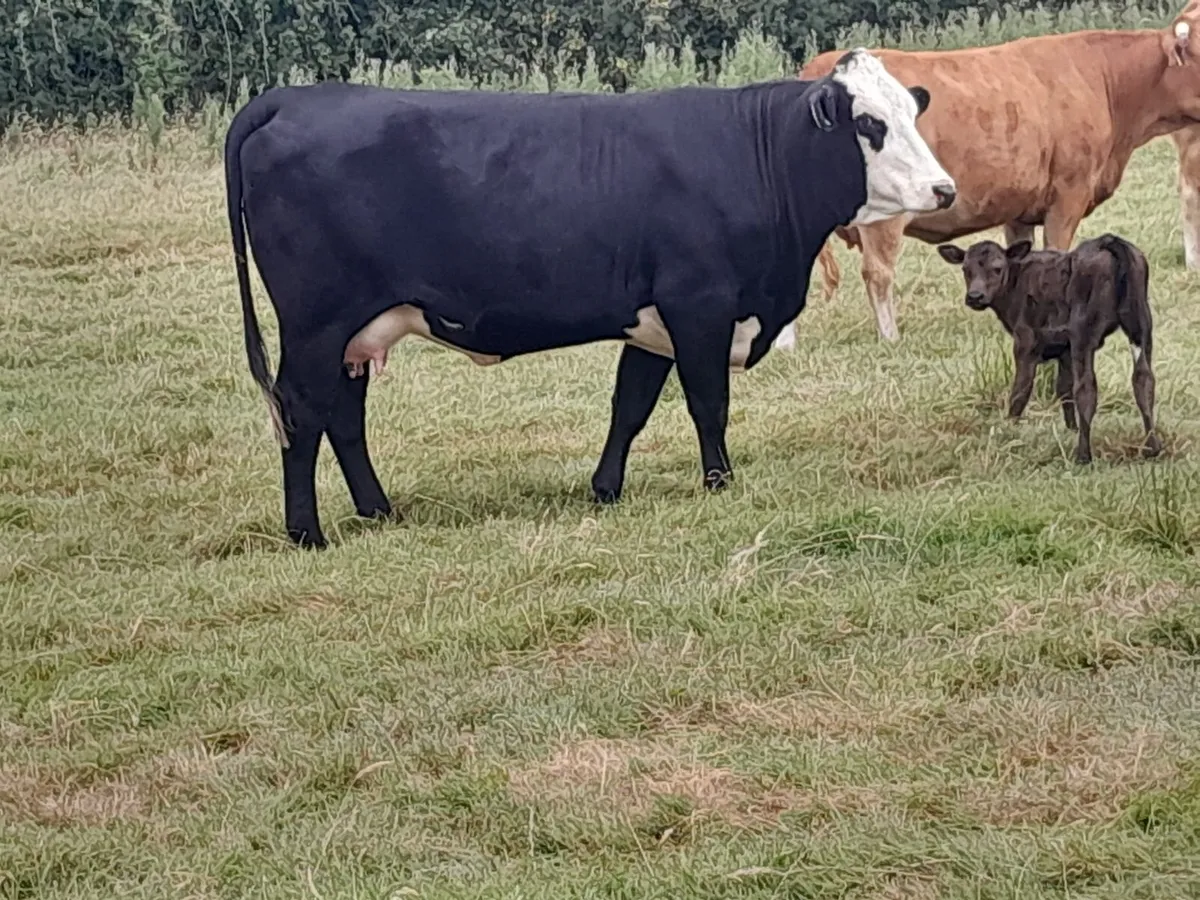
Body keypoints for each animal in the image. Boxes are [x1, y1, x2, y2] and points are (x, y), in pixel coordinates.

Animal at [223, 49, 956, 548]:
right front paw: (719, 483)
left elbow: (630, 406)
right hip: (316, 324)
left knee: (343, 416)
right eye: (870, 124)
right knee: (301, 413)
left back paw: (377, 510)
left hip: (356, 330)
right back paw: (307, 532)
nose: (945, 189)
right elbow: (708, 404)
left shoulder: (655, 322)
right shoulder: (700, 305)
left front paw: (605, 490)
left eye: (912, 113)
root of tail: (290, 98)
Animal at [772, 1, 1200, 351]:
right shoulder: (1068, 196)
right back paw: (890, 338)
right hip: (884, 216)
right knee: (877, 274)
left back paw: (786, 346)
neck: (1105, 80)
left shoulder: (1020, 208)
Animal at [936, 233, 1160, 465]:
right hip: (1141, 323)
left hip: (1084, 331)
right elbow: (1063, 389)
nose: (975, 296)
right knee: (1144, 379)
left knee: (1086, 388)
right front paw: (1071, 429)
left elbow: (1021, 390)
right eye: (965, 269)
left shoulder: (1026, 341)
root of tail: (1107, 240)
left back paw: (1083, 455)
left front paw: (1008, 432)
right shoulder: (1065, 349)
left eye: (997, 268)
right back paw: (1151, 447)